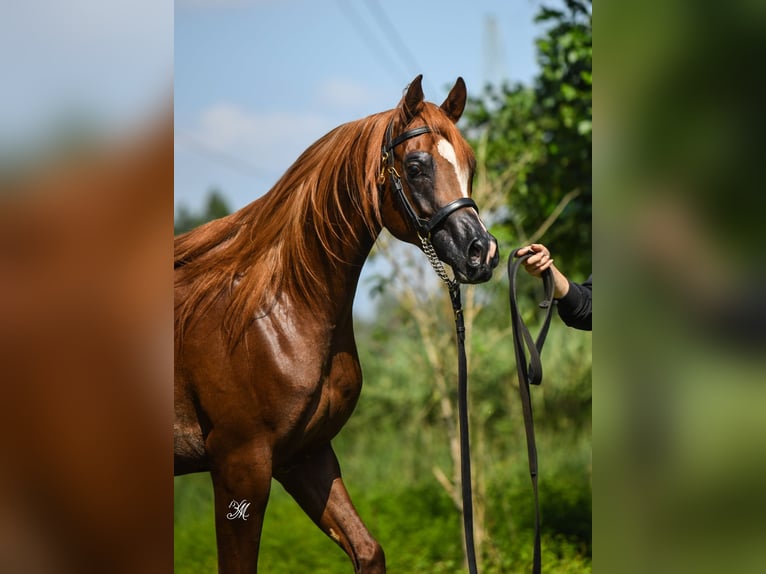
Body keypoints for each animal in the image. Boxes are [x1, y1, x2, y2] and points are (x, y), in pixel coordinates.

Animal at [174, 75, 499, 573]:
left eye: (471, 165)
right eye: (416, 166)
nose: (482, 252)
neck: (274, 313)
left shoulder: (306, 456)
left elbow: (368, 550)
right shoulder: (239, 465)